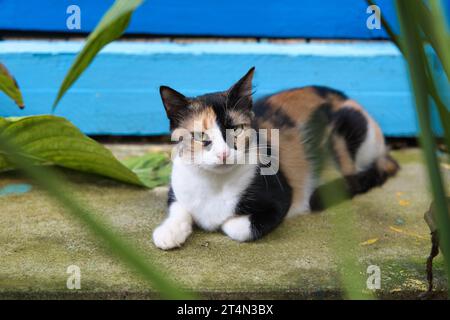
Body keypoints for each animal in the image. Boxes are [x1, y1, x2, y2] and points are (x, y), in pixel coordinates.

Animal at [153, 67, 400, 250]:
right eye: (200, 136)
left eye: (236, 129)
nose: (223, 153)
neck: (215, 184)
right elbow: (178, 207)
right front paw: (168, 232)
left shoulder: (280, 198)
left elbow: (235, 227)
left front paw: (222, 222)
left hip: (348, 124)